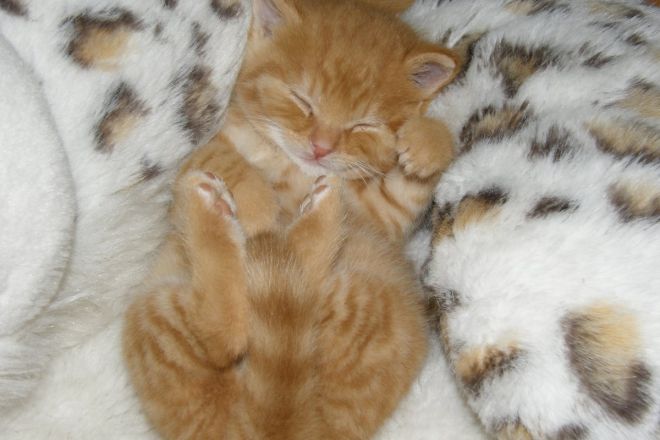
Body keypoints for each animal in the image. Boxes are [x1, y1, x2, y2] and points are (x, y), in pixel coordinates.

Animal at [122, 0, 458, 438]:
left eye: (362, 125)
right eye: (302, 101)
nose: (320, 148)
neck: (291, 171)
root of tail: (289, 426)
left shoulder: (382, 216)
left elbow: (409, 186)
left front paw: (428, 141)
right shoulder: (193, 159)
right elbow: (221, 155)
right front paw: (259, 207)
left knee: (249, 319)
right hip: (160, 310)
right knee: (221, 335)